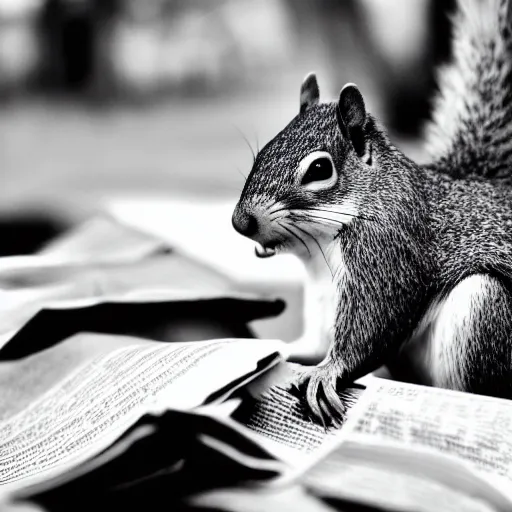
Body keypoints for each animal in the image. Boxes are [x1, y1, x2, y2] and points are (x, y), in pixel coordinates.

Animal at [233, 0, 512, 424]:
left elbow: (373, 325)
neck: (319, 243)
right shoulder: (322, 294)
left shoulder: (387, 249)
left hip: (485, 311)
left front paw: (327, 373)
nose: (240, 221)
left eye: (320, 169)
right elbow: (314, 342)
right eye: (264, 151)